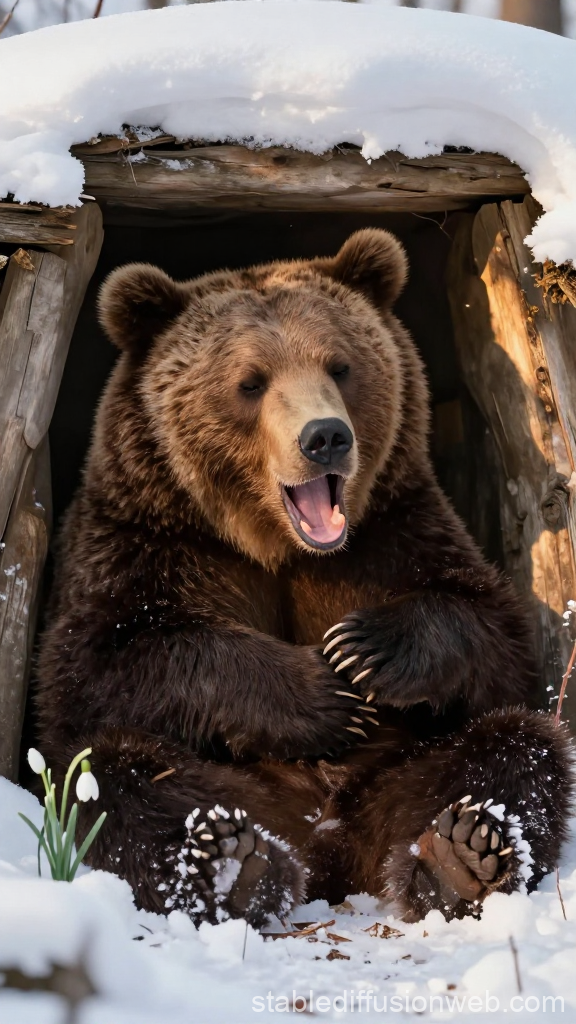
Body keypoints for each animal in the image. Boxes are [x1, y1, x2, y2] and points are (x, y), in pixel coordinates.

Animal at [36, 228, 573, 927]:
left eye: (339, 365)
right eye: (250, 381)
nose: (325, 437)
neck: (278, 547)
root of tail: (330, 849)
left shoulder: (394, 533)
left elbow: (493, 634)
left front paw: (364, 649)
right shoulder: (145, 543)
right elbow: (97, 670)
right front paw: (326, 692)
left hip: (399, 770)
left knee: (515, 746)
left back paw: (461, 858)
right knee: (113, 778)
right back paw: (232, 867)